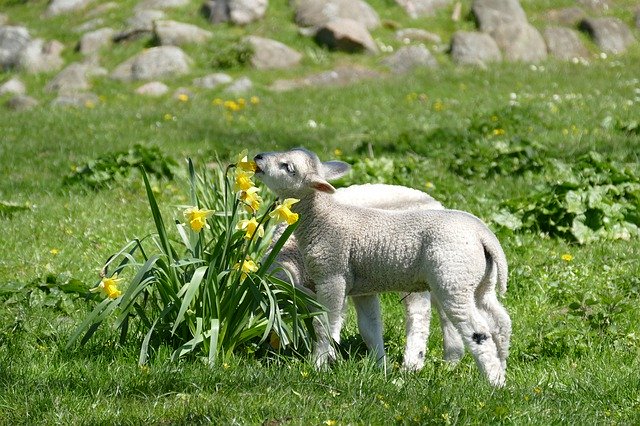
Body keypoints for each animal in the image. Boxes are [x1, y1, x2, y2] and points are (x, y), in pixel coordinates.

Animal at [268, 183, 464, 370]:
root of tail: (435, 202)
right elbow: (362, 324)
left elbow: (332, 319)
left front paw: (329, 355)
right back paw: (451, 360)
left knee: (419, 313)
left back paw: (413, 363)